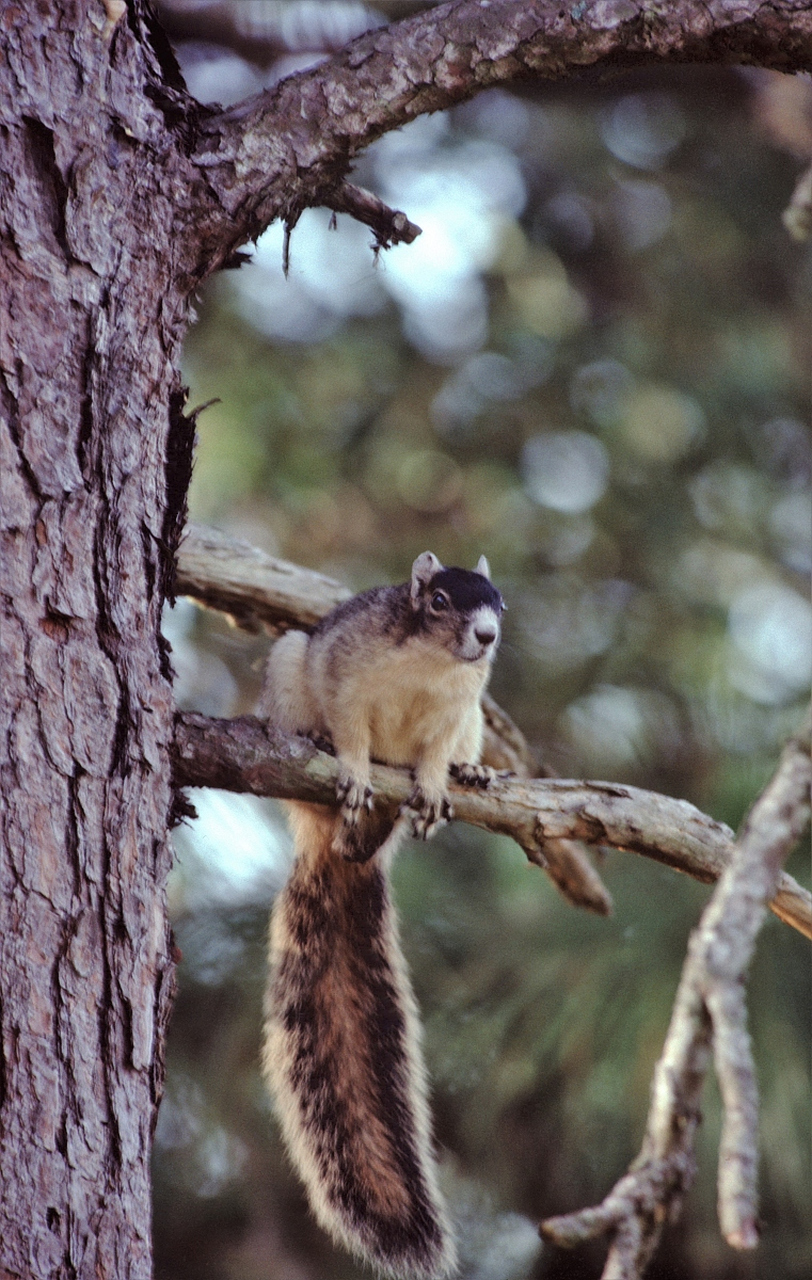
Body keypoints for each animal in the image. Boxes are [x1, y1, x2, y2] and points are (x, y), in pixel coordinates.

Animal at [256, 550, 502, 1280]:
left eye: (499, 604)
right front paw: (359, 770)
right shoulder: (347, 677)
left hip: (475, 726)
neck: (431, 662)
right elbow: (352, 730)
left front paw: (437, 783)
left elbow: (434, 751)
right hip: (290, 667)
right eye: (440, 599)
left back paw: (471, 775)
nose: (487, 637)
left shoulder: (457, 711)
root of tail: (347, 853)